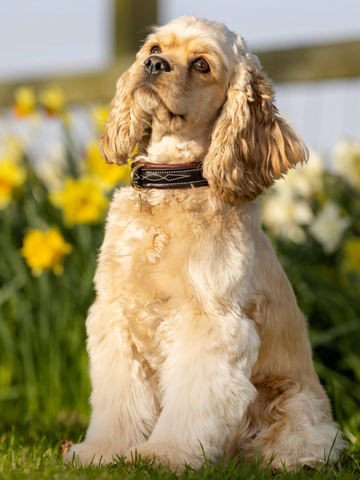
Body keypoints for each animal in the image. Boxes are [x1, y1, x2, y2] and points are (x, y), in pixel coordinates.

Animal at [63, 15, 344, 472]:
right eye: (154, 48)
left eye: (201, 64)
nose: (154, 65)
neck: (172, 187)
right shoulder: (115, 315)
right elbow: (118, 403)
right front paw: (102, 452)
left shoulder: (210, 322)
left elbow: (192, 406)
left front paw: (164, 456)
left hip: (296, 402)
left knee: (310, 443)